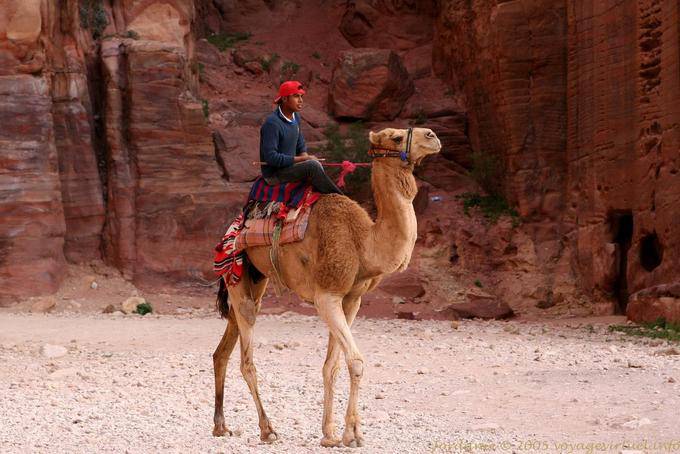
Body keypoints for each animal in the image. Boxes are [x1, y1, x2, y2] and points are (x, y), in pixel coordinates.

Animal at [212, 127, 441, 448]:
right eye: (396, 137)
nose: (433, 136)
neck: (364, 243)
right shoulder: (327, 296)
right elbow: (355, 361)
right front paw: (352, 434)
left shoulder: (352, 299)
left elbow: (332, 365)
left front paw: (330, 433)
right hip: (237, 275)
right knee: (247, 360)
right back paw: (268, 429)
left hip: (253, 279)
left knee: (222, 351)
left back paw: (220, 426)